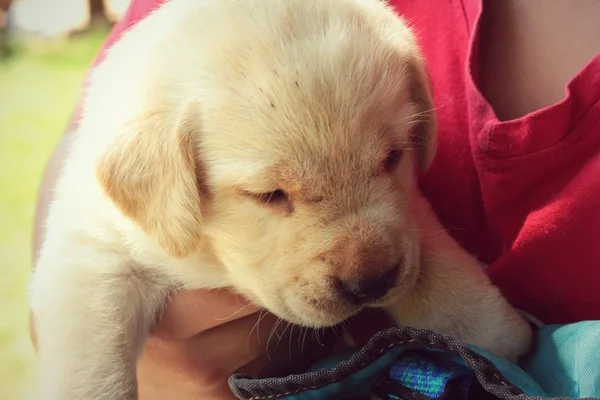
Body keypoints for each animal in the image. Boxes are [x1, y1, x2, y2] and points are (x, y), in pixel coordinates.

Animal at [30, 0, 532, 396]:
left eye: (393, 157)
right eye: (268, 195)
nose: (371, 283)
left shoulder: (409, 216)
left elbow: (437, 270)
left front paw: (501, 340)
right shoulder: (94, 252)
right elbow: (92, 363)